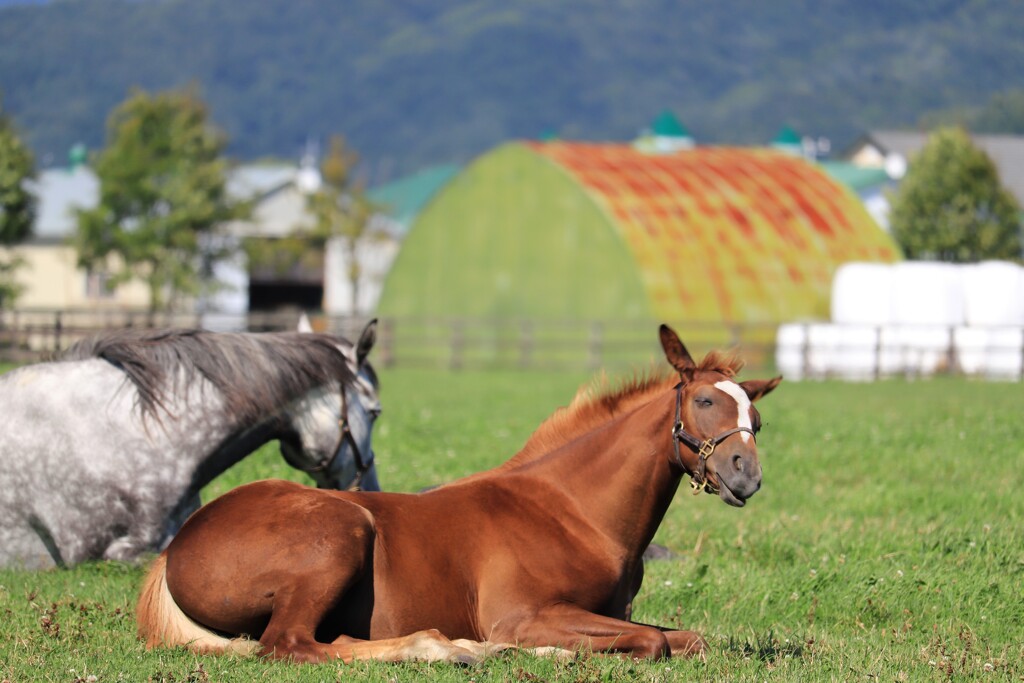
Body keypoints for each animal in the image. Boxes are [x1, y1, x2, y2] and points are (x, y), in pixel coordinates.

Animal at [134, 325, 774, 663]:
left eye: (758, 420)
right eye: (704, 401)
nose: (746, 476)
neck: (572, 512)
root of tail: (175, 545)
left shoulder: (608, 614)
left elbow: (681, 636)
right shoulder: (522, 616)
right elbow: (652, 643)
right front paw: (543, 653)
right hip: (341, 532)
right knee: (290, 645)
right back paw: (442, 648)